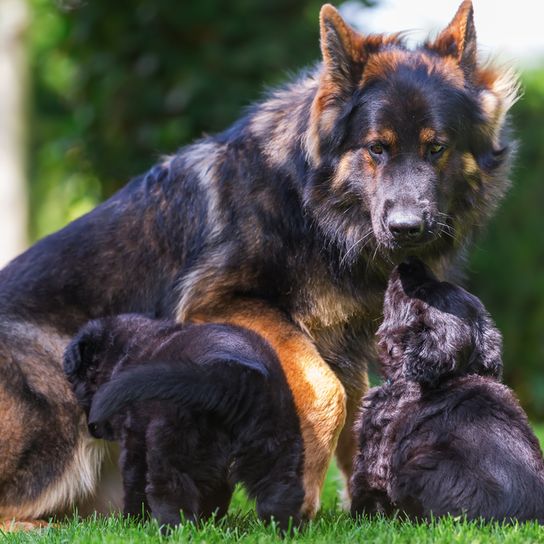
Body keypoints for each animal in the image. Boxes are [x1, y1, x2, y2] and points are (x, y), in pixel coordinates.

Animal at [62, 316, 306, 528]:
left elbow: (134, 485)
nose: (92, 428)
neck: (126, 350)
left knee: (172, 492)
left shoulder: (135, 442)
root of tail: (229, 376)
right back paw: (284, 530)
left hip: (173, 442)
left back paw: (173, 530)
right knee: (281, 493)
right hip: (278, 444)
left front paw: (132, 523)